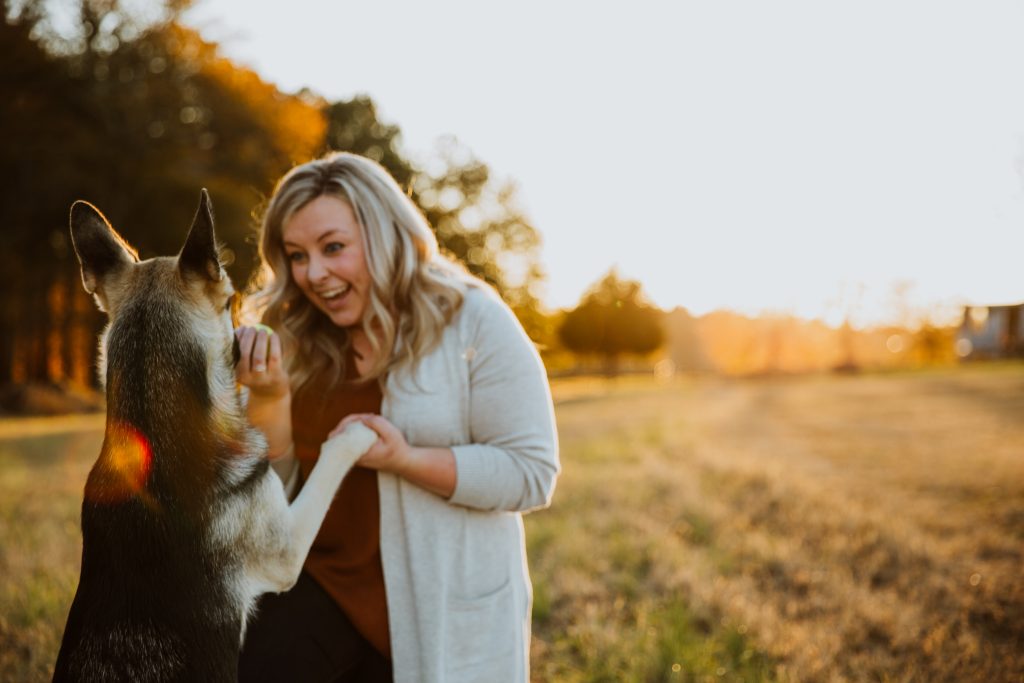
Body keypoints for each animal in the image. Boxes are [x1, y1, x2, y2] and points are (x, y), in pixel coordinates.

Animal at [53, 191, 377, 682]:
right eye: (229, 305)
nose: (250, 333)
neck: (153, 420)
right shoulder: (285, 551)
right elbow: (327, 464)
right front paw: (355, 435)